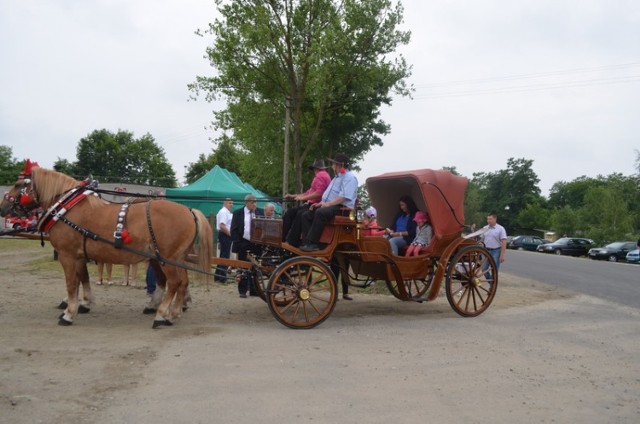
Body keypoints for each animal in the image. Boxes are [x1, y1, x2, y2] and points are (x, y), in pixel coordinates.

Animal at [1, 165, 214, 328]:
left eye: (19, 185)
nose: (3, 207)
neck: (67, 209)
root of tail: (189, 210)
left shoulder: (67, 255)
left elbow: (71, 283)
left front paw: (69, 313)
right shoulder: (80, 255)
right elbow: (83, 279)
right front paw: (84, 304)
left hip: (166, 259)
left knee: (174, 283)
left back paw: (161, 315)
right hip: (174, 258)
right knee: (182, 282)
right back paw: (173, 313)